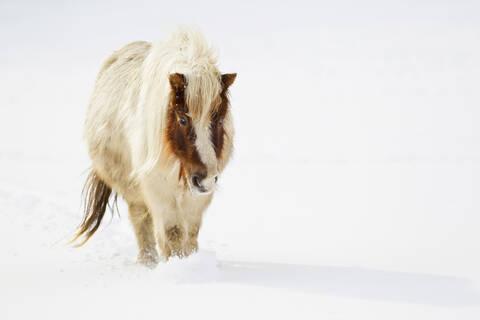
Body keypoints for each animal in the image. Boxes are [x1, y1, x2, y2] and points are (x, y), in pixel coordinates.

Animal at [71, 28, 236, 268]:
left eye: (221, 121)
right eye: (182, 120)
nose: (205, 179)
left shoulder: (197, 197)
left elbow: (191, 232)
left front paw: (191, 261)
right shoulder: (160, 191)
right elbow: (173, 232)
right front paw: (177, 265)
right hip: (133, 190)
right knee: (141, 220)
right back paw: (148, 261)